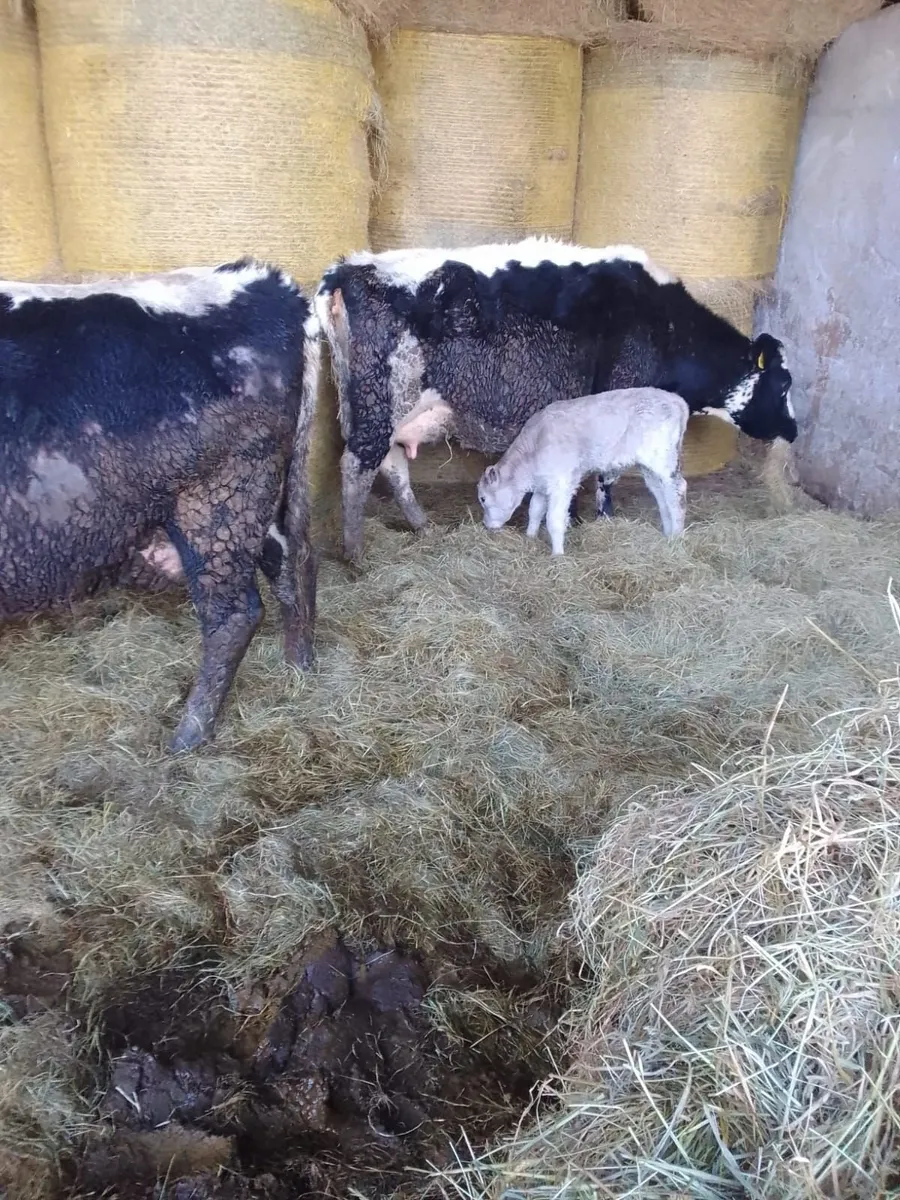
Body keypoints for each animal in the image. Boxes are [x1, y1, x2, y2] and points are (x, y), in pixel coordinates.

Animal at [0, 258, 319, 753]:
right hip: (261, 498)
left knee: (233, 614)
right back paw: (297, 669)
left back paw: (188, 735)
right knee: (291, 560)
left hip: (219, 498)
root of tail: (261, 279)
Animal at [313, 237, 797, 564]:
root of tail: (350, 268)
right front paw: (599, 520)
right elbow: (606, 475)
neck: (665, 325)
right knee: (358, 466)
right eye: (784, 385)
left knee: (392, 466)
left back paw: (421, 525)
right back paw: (355, 552)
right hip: (381, 400)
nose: (794, 430)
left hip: (376, 409)